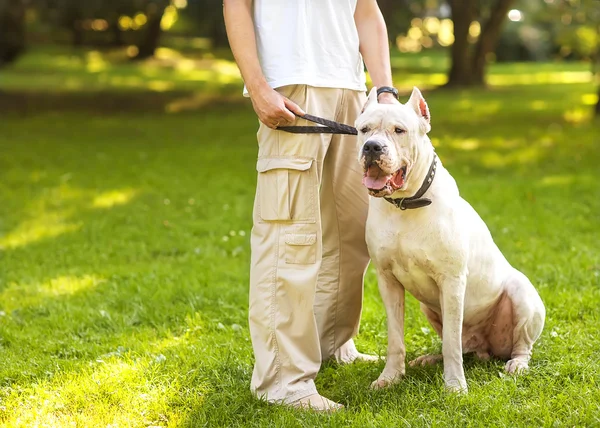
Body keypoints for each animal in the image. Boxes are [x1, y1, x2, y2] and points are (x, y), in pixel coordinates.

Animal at [356, 88, 544, 394]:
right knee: (463, 344)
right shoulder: (387, 280)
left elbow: (452, 343)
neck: (405, 204)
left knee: (519, 346)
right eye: (364, 130)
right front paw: (390, 377)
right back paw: (430, 359)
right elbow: (396, 338)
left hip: (522, 295)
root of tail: (487, 349)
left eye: (399, 130)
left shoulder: (452, 281)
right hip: (428, 308)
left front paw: (455, 386)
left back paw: (516, 364)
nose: (372, 147)